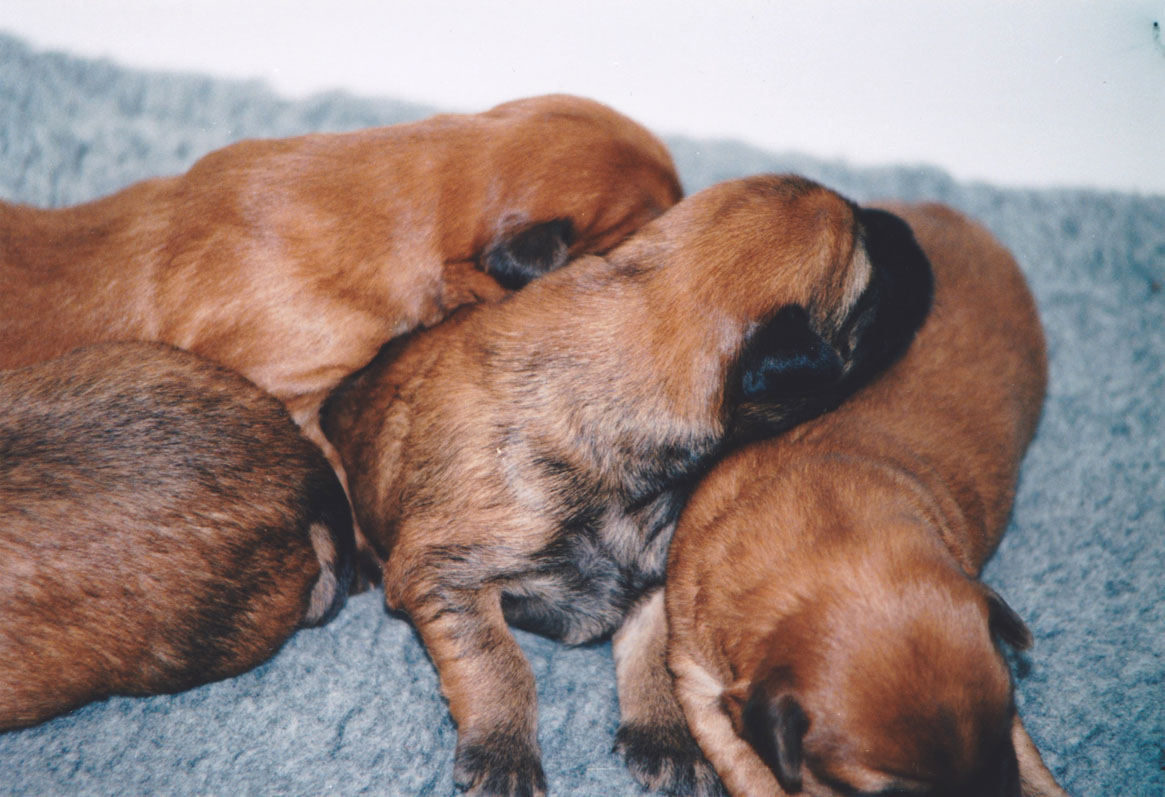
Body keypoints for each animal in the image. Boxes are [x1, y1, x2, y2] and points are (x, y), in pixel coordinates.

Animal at [321, 175, 936, 797]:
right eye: (872, 287)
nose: (910, 232)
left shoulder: (658, 579)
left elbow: (652, 657)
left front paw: (668, 738)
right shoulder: (444, 571)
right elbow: (498, 663)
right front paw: (504, 753)